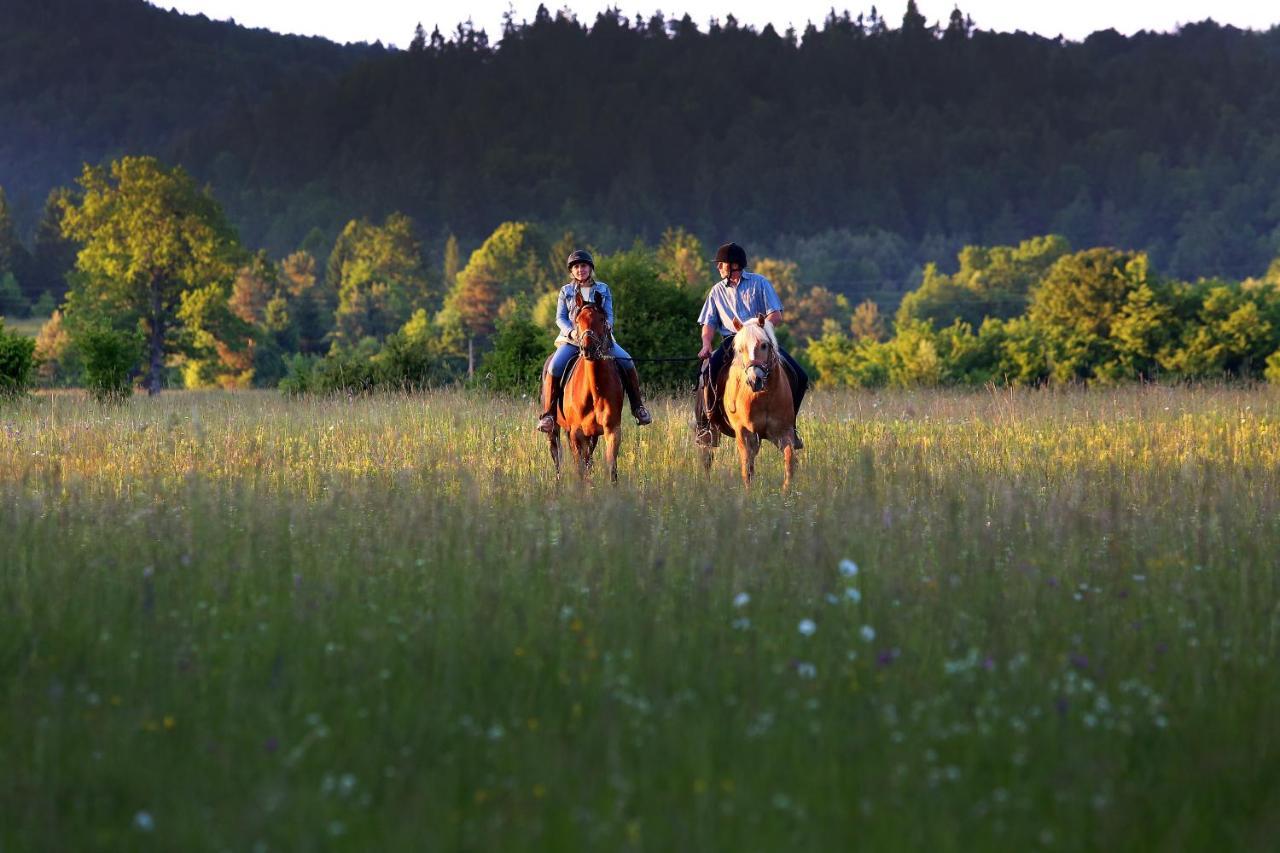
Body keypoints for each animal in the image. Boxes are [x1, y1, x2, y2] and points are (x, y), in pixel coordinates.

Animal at [547, 290, 627, 479]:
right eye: (577, 320)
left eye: (602, 319)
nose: (588, 349)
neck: (594, 390)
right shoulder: (577, 433)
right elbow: (580, 470)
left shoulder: (612, 430)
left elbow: (611, 468)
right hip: (555, 430)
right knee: (557, 458)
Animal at [706, 313, 793, 489]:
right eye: (740, 349)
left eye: (764, 345)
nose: (755, 380)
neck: (764, 397)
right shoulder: (744, 432)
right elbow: (747, 466)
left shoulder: (783, 431)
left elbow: (789, 462)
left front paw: (787, 491)